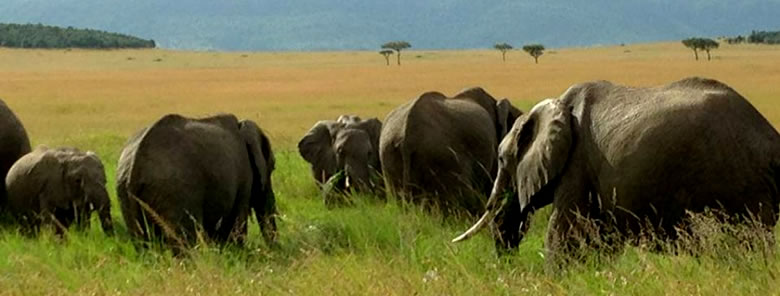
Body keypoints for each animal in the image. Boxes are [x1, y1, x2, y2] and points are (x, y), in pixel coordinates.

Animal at [114, 114, 276, 249]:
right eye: (273, 167)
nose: (272, 250)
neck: (242, 126)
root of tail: (135, 165)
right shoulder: (244, 176)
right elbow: (236, 222)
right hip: (175, 191)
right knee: (183, 241)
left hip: (125, 194)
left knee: (143, 242)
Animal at [450, 77, 780, 268]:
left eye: (502, 159)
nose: (506, 267)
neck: (554, 106)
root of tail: (771, 137)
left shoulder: (578, 162)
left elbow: (564, 233)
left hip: (740, 184)